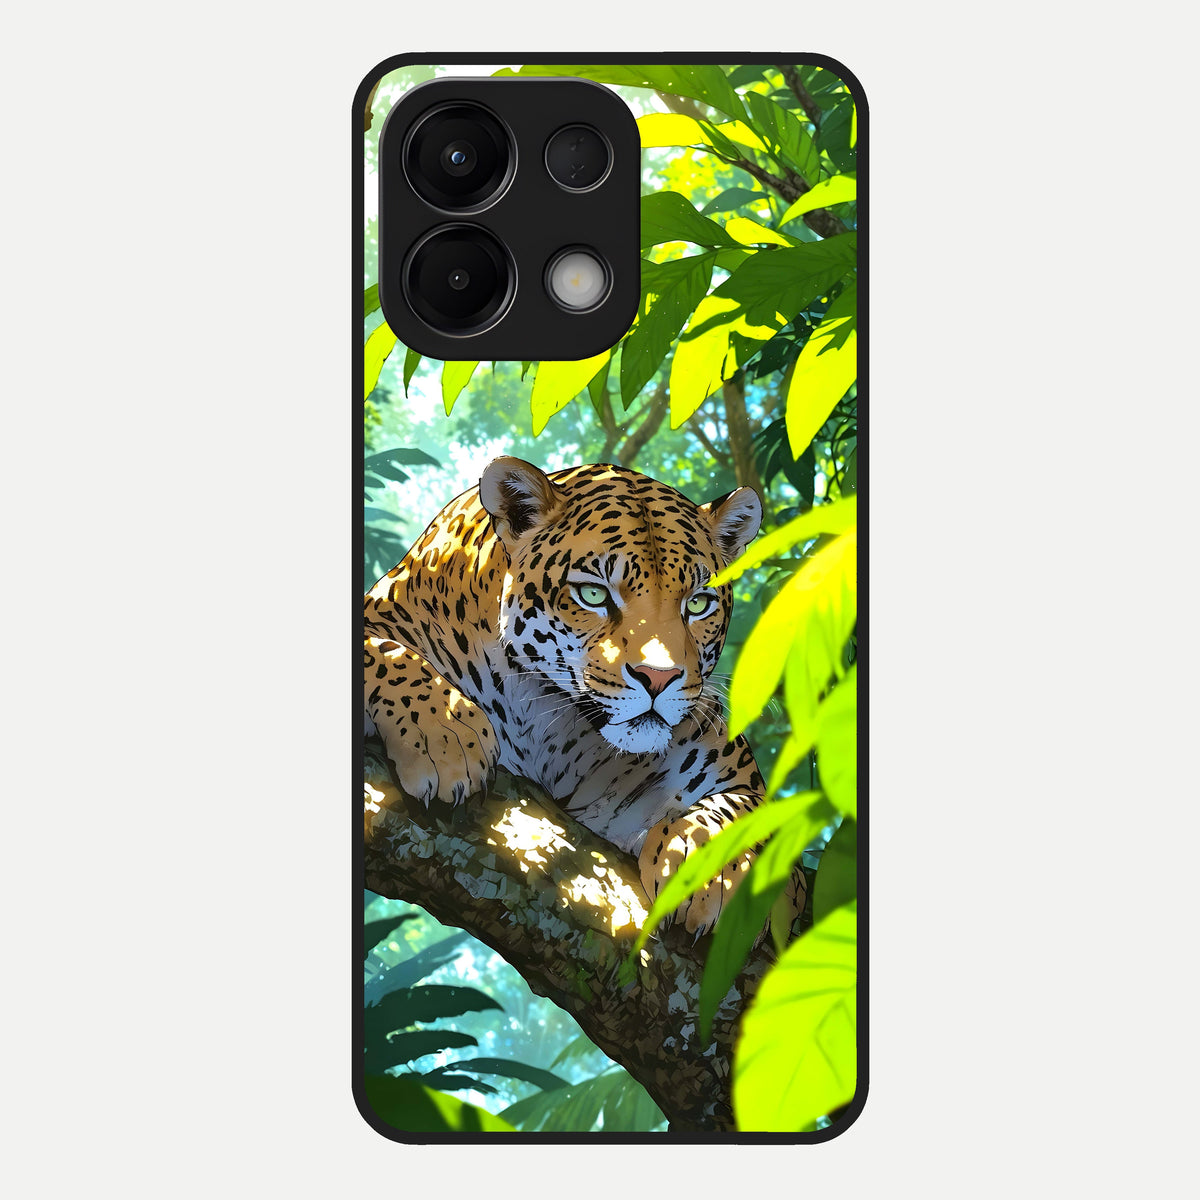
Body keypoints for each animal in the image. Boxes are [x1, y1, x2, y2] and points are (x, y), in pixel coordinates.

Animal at [364, 457, 804, 937]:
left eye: (697, 604)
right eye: (593, 594)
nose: (659, 677)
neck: (547, 724)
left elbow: (751, 809)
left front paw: (711, 869)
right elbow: (381, 651)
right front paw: (445, 734)